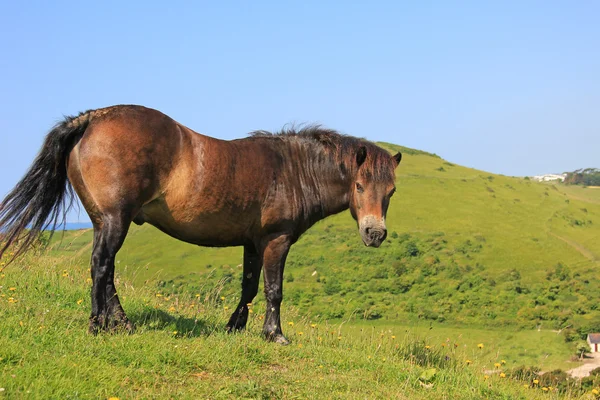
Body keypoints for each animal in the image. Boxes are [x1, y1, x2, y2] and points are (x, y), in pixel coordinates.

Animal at [1, 105, 404, 344]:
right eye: (359, 186)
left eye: (392, 191)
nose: (375, 233)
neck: (292, 170)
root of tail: (93, 118)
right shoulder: (277, 240)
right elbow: (273, 290)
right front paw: (274, 335)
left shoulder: (253, 242)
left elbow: (248, 287)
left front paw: (234, 327)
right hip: (115, 219)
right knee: (101, 266)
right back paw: (98, 325)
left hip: (106, 221)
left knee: (108, 270)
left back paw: (123, 323)